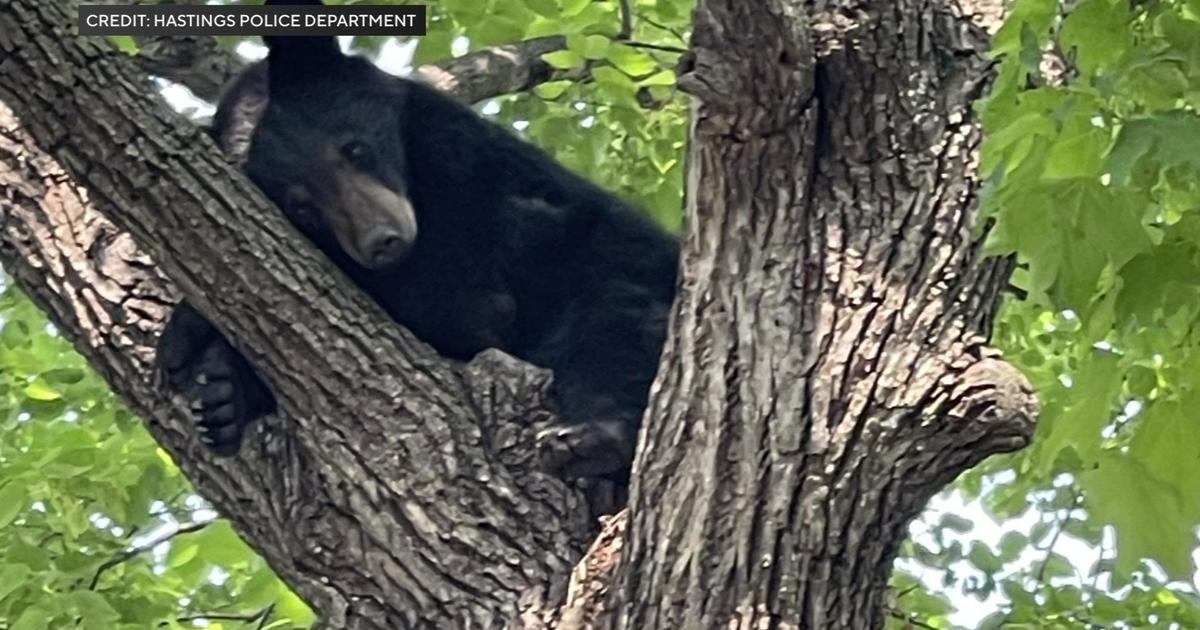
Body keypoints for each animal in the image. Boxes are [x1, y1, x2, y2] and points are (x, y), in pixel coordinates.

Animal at [159, 14, 681, 480]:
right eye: (301, 206)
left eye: (355, 149)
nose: (382, 242)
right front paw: (213, 378)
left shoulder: (484, 183)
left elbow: (480, 301)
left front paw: (190, 333)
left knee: (615, 321)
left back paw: (590, 438)